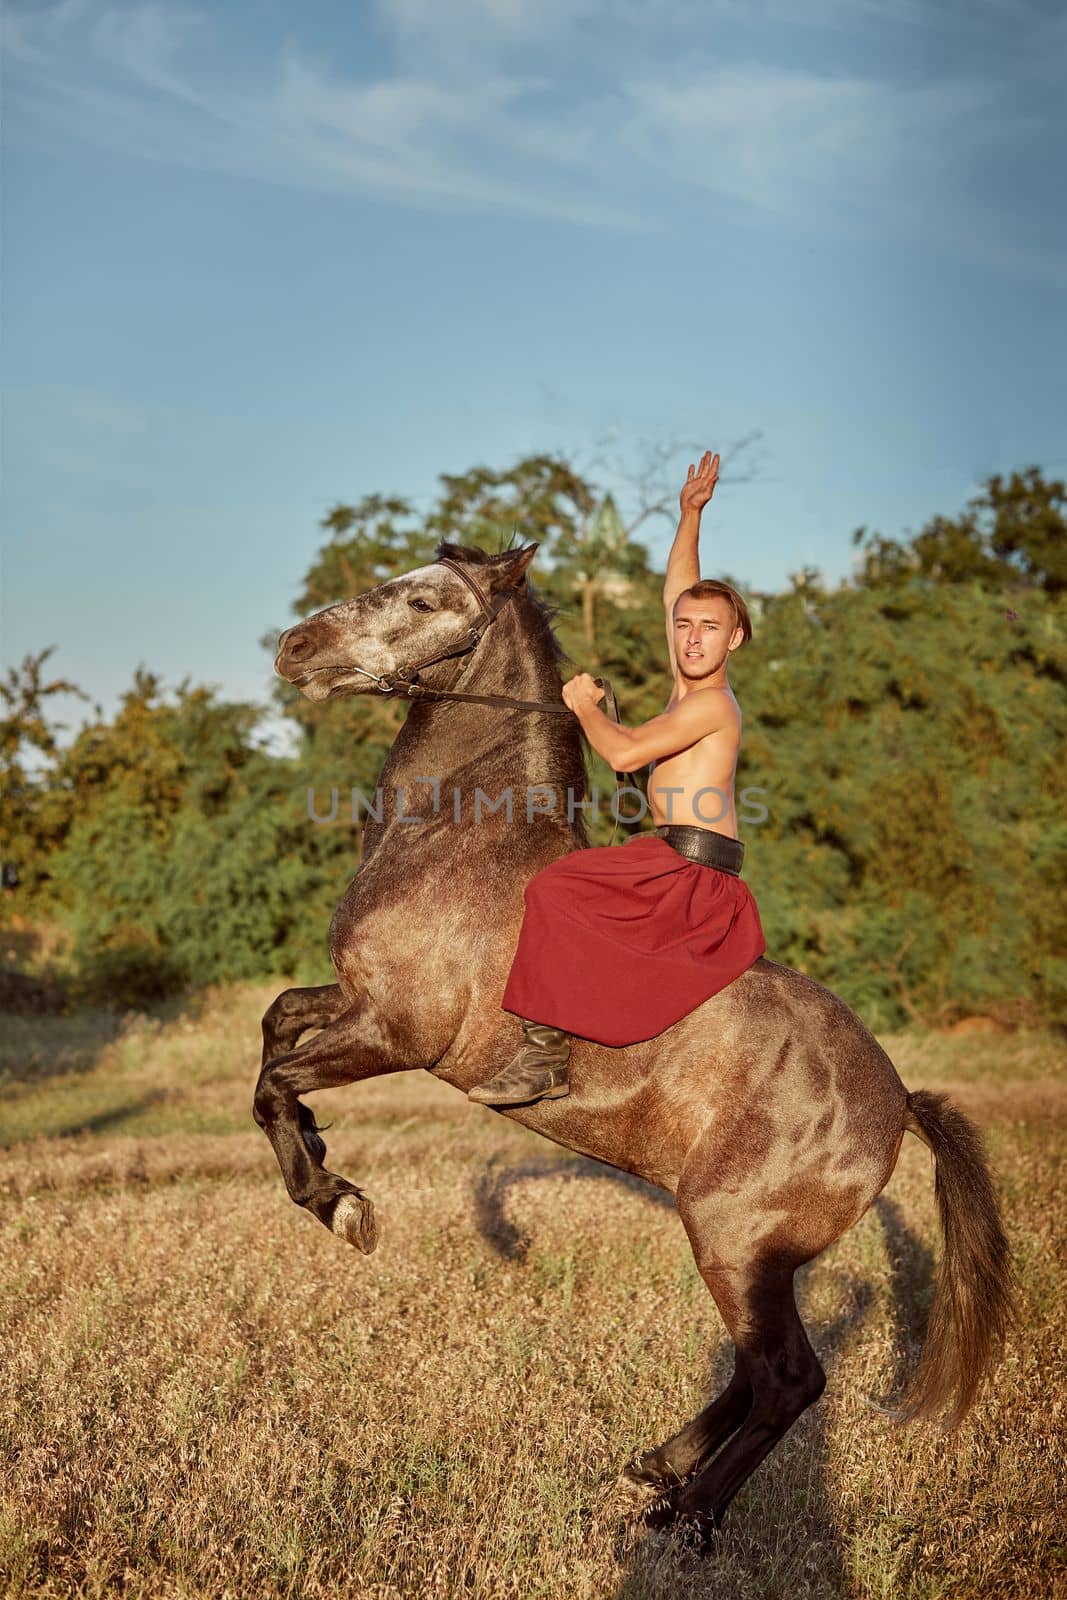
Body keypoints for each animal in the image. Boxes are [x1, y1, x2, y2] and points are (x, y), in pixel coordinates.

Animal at [254, 537, 1017, 1536]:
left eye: (421, 599)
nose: (294, 647)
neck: (456, 838)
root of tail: (896, 1103)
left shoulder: (396, 1031)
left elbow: (274, 1083)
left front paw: (340, 1205)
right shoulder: (352, 1000)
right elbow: (275, 1030)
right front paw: (321, 1160)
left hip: (731, 1238)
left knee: (787, 1379)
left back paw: (687, 1515)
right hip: (752, 1257)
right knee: (756, 1373)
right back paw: (659, 1467)